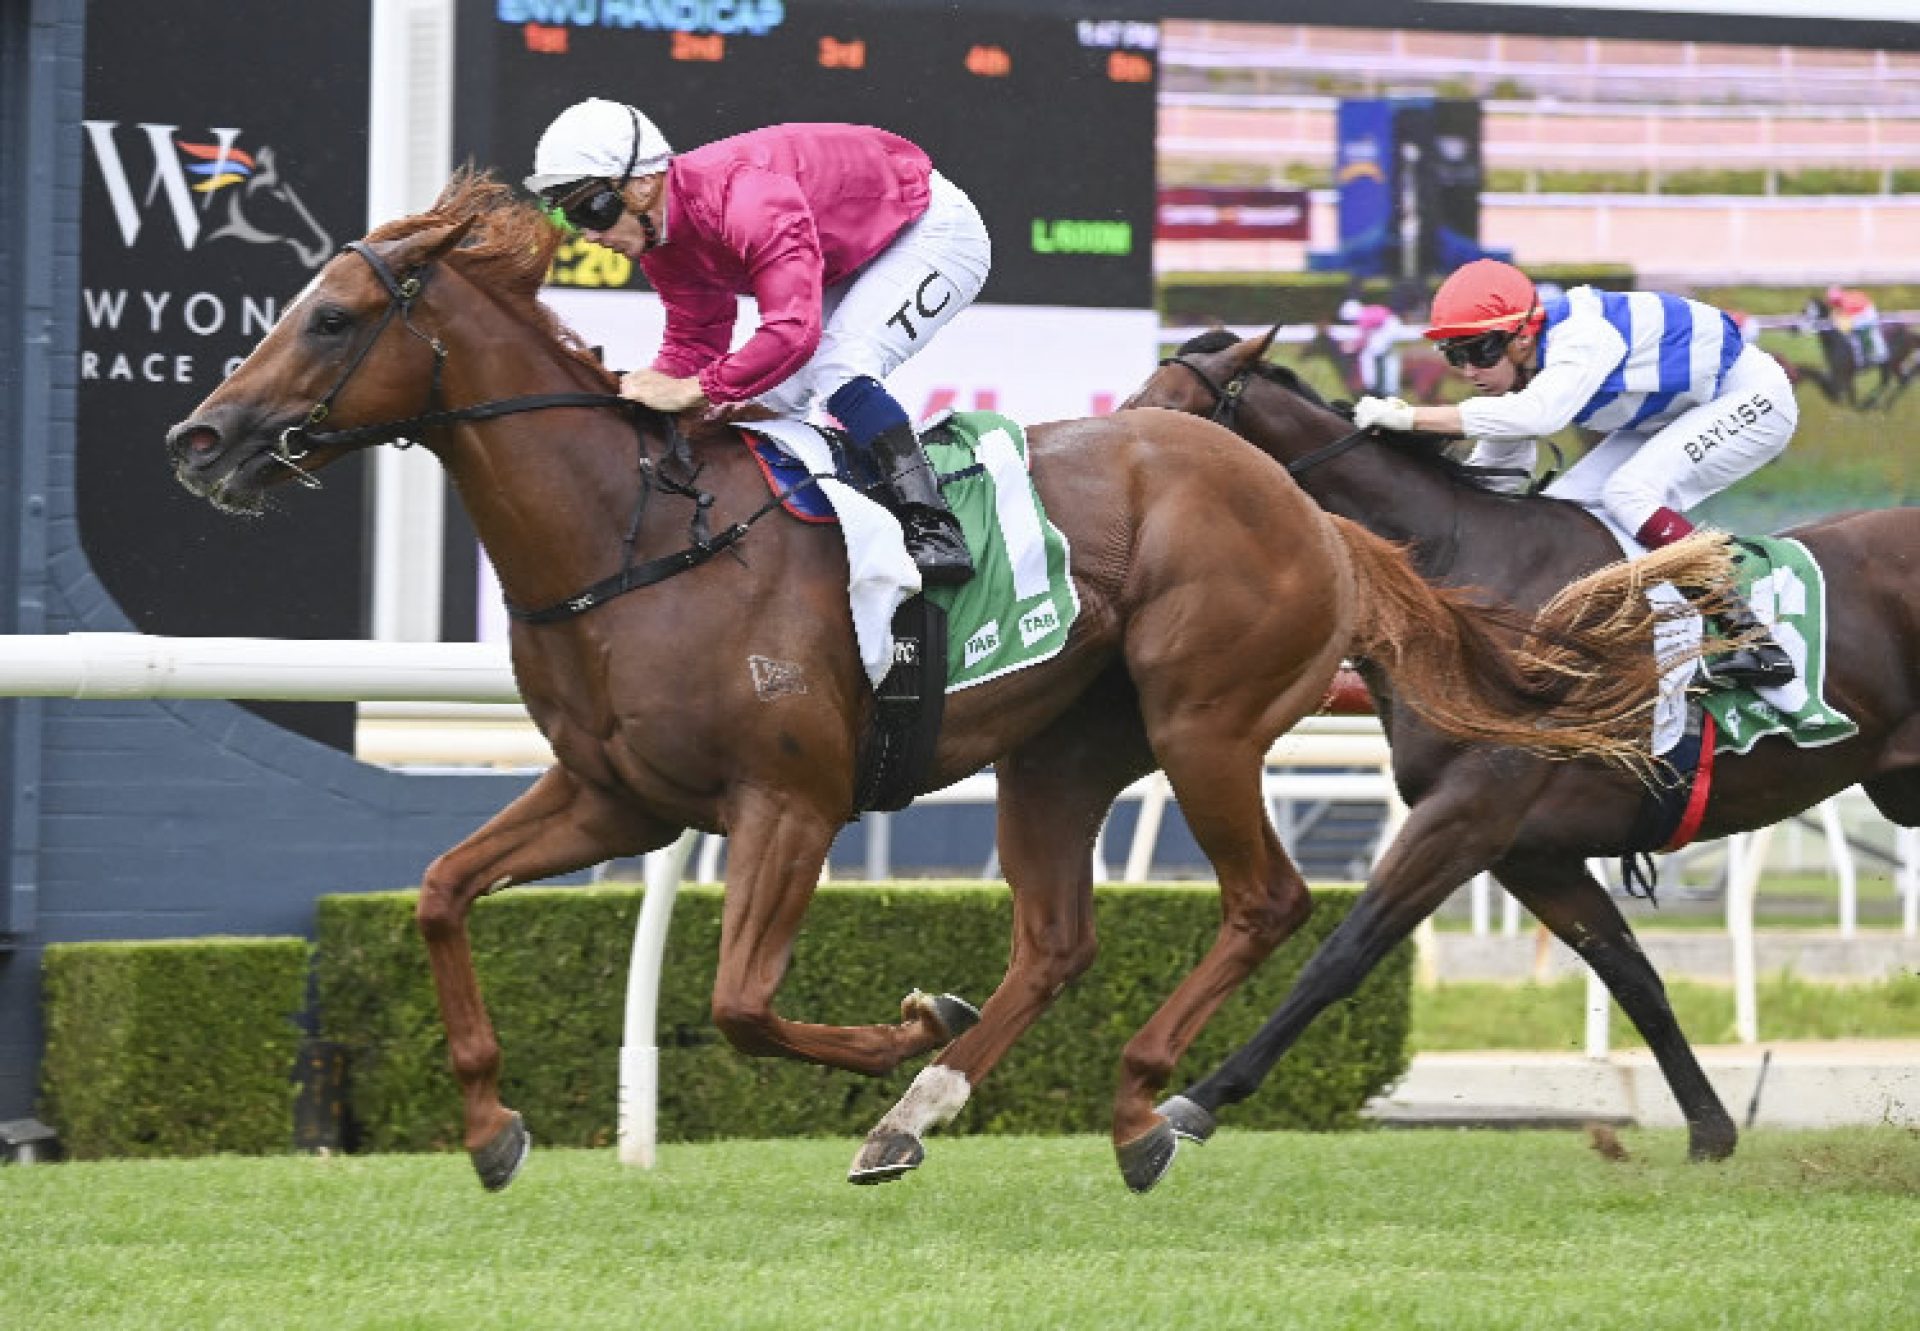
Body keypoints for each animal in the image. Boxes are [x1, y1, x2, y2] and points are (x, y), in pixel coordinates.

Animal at [168, 173, 1712, 1190]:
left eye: (334, 316)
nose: (202, 437)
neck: (637, 536)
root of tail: (1316, 512)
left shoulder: (787, 800)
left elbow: (740, 1002)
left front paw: (912, 1016)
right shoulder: (615, 796)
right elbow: (438, 891)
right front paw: (491, 1126)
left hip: (1206, 720)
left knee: (1269, 903)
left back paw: (1143, 1109)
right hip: (1060, 751)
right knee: (1059, 939)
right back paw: (922, 1111)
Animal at [1121, 326, 1920, 1175]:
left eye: (1170, 410)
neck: (1460, 587)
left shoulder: (1467, 814)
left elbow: (1344, 952)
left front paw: (1193, 1102)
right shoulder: (1532, 853)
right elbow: (1632, 973)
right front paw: (1710, 1128)